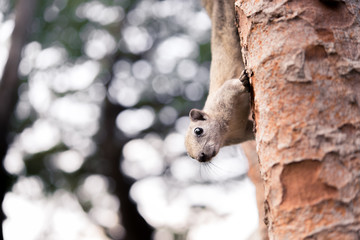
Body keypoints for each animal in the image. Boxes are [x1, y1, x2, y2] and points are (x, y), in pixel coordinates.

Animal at [184, 0, 255, 162]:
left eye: (198, 130)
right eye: (191, 157)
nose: (201, 157)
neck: (227, 130)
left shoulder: (222, 97)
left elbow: (232, 86)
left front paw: (243, 81)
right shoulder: (242, 133)